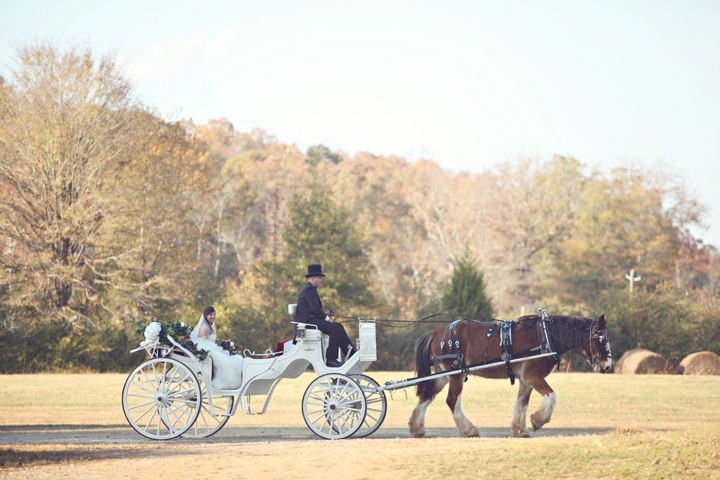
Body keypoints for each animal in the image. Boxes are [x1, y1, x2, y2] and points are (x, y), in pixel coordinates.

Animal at [408, 314, 612, 436]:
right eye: (601, 339)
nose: (607, 365)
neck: (545, 336)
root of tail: (436, 331)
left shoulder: (525, 379)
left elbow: (522, 403)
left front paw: (519, 429)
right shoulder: (532, 376)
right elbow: (551, 396)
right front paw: (538, 420)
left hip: (444, 374)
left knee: (427, 396)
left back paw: (416, 428)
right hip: (456, 374)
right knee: (452, 400)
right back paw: (469, 429)